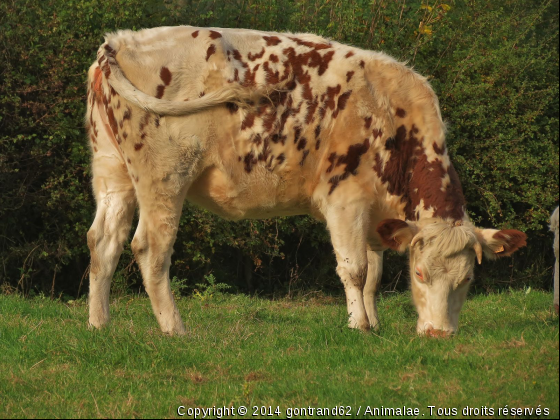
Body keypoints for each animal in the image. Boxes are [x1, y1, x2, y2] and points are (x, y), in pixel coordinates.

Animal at [85, 26, 528, 336]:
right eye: (420, 274)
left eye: (467, 281)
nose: (439, 334)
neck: (393, 119)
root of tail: (119, 42)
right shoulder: (345, 200)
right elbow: (355, 269)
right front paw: (359, 327)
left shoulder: (375, 215)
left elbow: (375, 274)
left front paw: (374, 322)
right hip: (165, 177)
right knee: (150, 248)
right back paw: (174, 328)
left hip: (112, 171)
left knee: (103, 241)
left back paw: (99, 324)